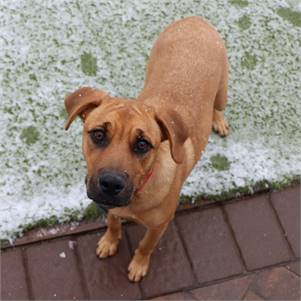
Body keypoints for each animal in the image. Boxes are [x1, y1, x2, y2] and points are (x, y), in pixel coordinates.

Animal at [63, 16, 227, 280]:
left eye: (142, 144)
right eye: (98, 134)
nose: (110, 184)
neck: (138, 193)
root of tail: (195, 19)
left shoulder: (160, 225)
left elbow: (145, 245)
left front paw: (139, 265)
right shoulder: (112, 208)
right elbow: (113, 223)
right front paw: (109, 241)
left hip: (222, 89)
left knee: (218, 106)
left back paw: (219, 120)